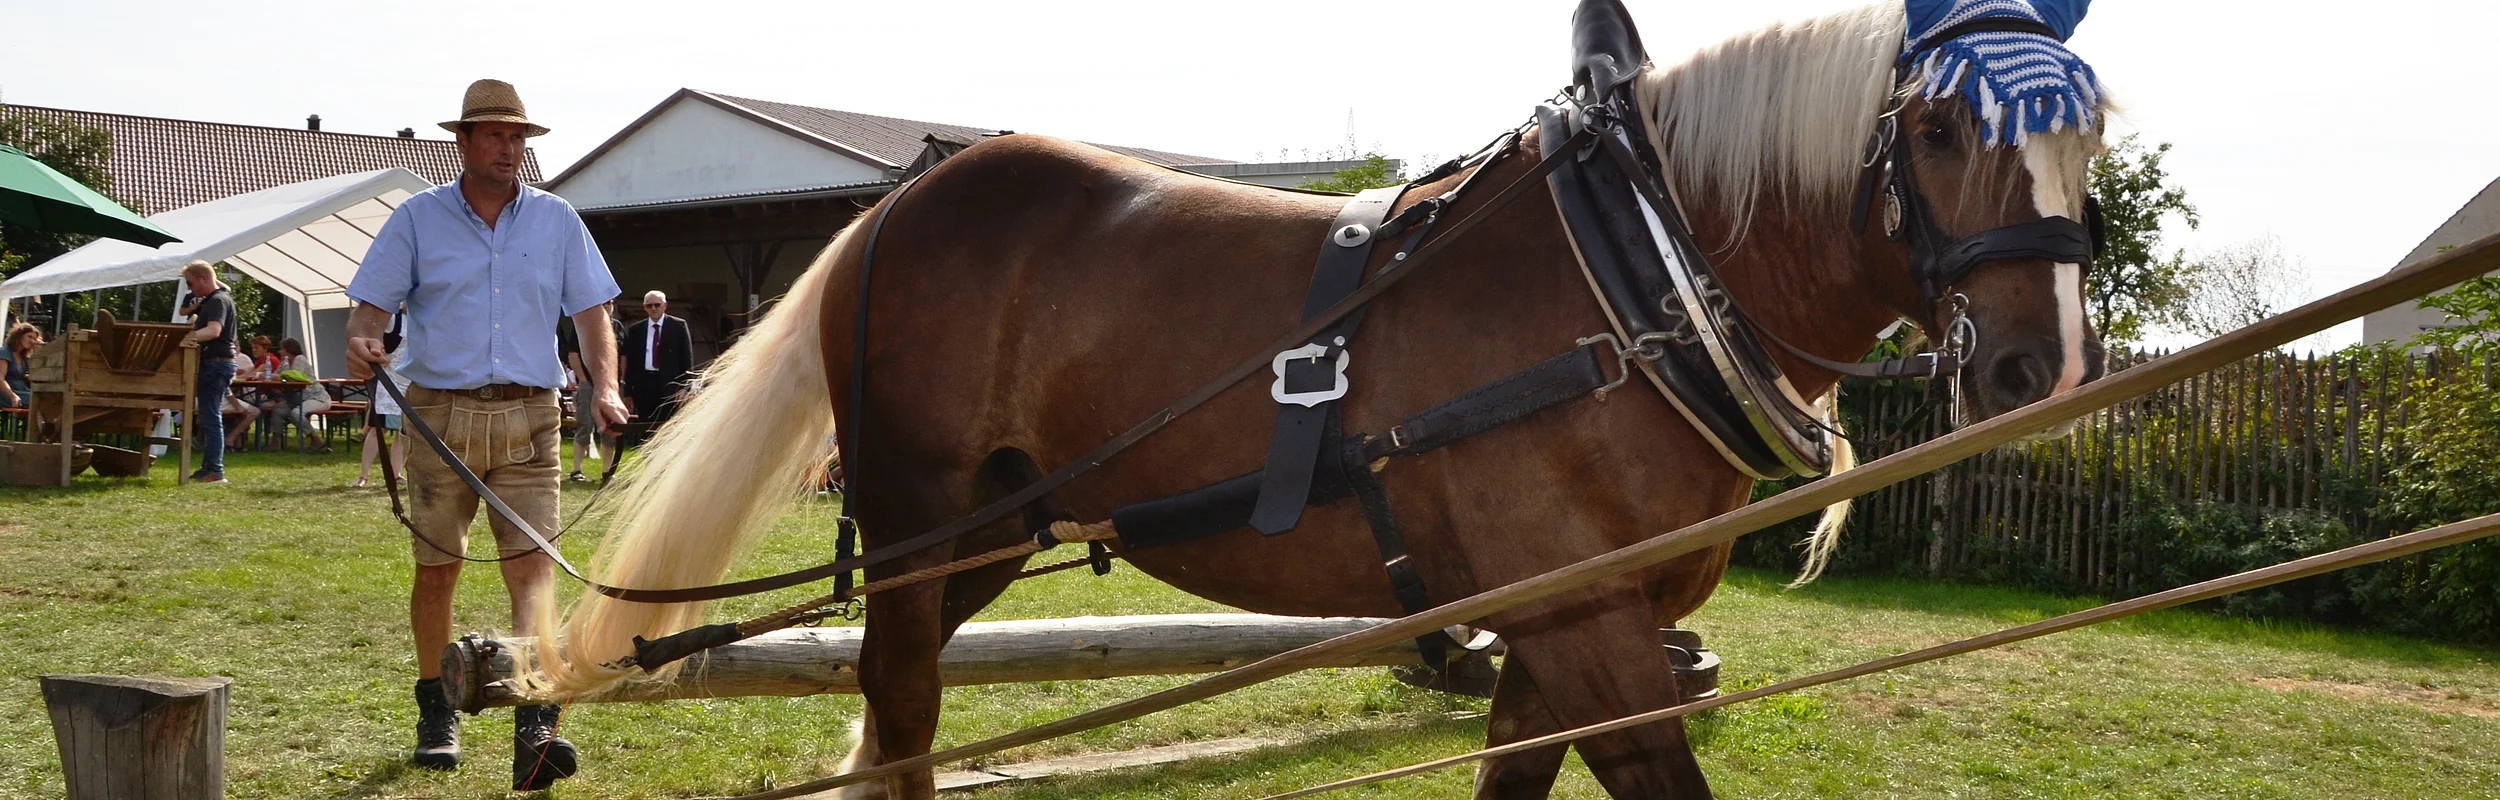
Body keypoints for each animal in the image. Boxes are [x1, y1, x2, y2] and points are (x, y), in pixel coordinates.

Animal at [529, 2, 2107, 797]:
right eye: (1938, 124)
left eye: (2090, 132)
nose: (2039, 372)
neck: (1634, 268)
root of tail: (893, 208)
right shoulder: (1584, 624)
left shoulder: (1555, 629)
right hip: (917, 530)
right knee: (904, 712)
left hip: (992, 528)